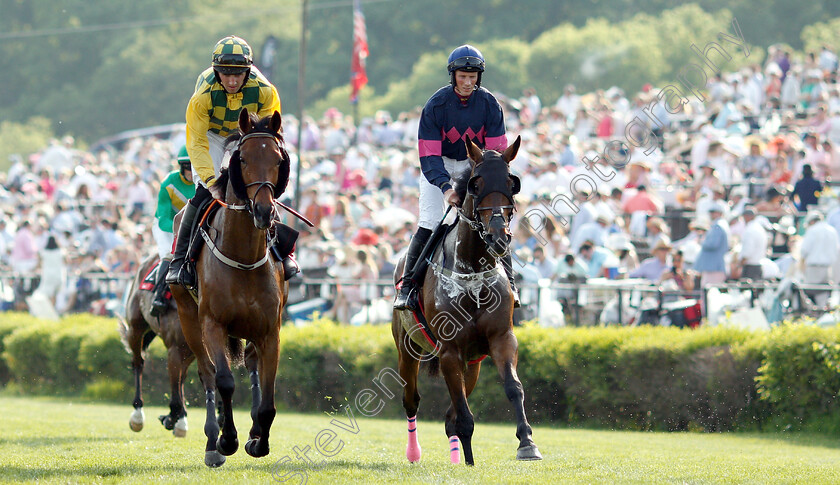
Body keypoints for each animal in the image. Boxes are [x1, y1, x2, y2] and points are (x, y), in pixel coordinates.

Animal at [169, 108, 290, 466]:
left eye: (278, 159)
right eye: (244, 159)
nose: (264, 210)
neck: (243, 257)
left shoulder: (270, 330)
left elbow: (268, 396)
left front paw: (258, 440)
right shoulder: (212, 323)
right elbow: (223, 381)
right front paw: (227, 439)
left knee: (250, 366)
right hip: (188, 318)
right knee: (207, 373)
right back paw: (213, 439)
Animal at [392, 135, 540, 466]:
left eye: (511, 183)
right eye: (476, 183)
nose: (499, 236)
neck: (472, 273)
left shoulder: (501, 338)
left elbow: (514, 388)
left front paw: (527, 443)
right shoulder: (450, 351)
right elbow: (462, 413)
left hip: (474, 363)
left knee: (450, 415)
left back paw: (459, 457)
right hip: (407, 350)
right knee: (412, 401)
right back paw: (414, 453)